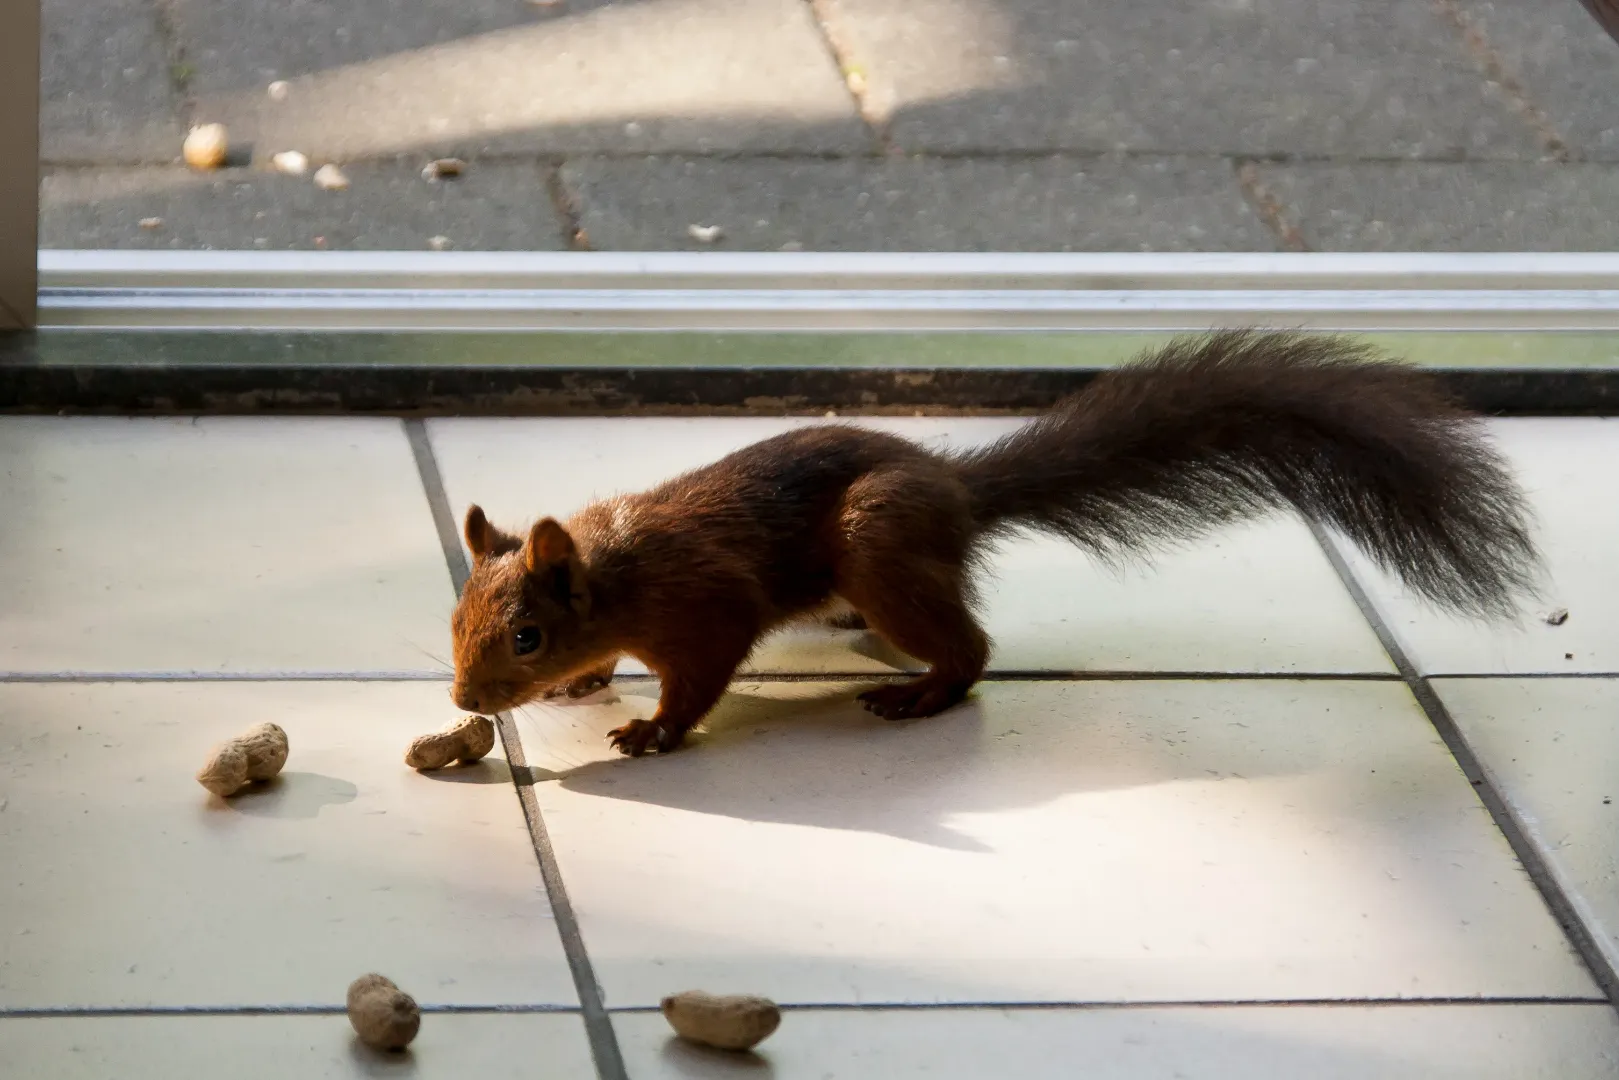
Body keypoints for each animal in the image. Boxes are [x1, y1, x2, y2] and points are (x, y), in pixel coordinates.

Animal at [450, 333, 1534, 757]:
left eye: (527, 637)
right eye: (455, 618)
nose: (463, 701)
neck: (618, 576)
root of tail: (958, 494)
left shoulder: (706, 604)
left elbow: (700, 677)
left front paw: (650, 731)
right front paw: (593, 684)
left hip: (876, 544)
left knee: (971, 648)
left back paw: (922, 693)